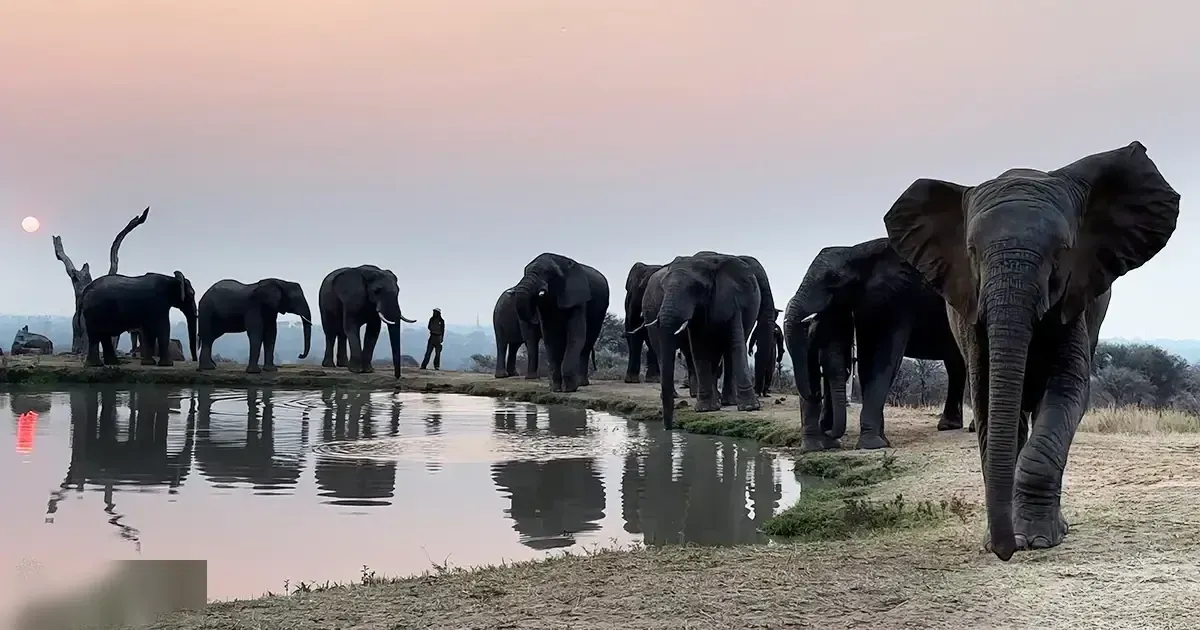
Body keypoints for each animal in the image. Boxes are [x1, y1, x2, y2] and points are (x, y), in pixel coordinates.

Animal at [510, 253, 610, 393]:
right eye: (525, 271)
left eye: (547, 273)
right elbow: (551, 338)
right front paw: (556, 389)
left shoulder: (578, 299)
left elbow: (576, 336)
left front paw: (569, 389)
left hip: (600, 310)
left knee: (588, 342)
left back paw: (581, 383)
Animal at [645, 252, 762, 429]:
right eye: (663, 288)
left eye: (695, 288)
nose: (668, 428)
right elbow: (699, 347)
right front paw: (706, 409)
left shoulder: (731, 298)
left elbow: (735, 342)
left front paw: (750, 408)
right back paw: (719, 401)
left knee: (727, 351)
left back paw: (728, 402)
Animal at [783, 237, 968, 452]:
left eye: (834, 278)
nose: (828, 432)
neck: (859, 251)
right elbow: (866, 360)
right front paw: (880, 441)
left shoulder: (898, 297)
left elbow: (882, 357)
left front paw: (871, 445)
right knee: (956, 364)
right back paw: (948, 426)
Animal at [882, 141, 1180, 561]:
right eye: (972, 252)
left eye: (1061, 252)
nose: (1005, 551)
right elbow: (987, 394)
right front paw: (1003, 539)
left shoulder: (1074, 299)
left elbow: (1068, 389)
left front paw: (1038, 540)